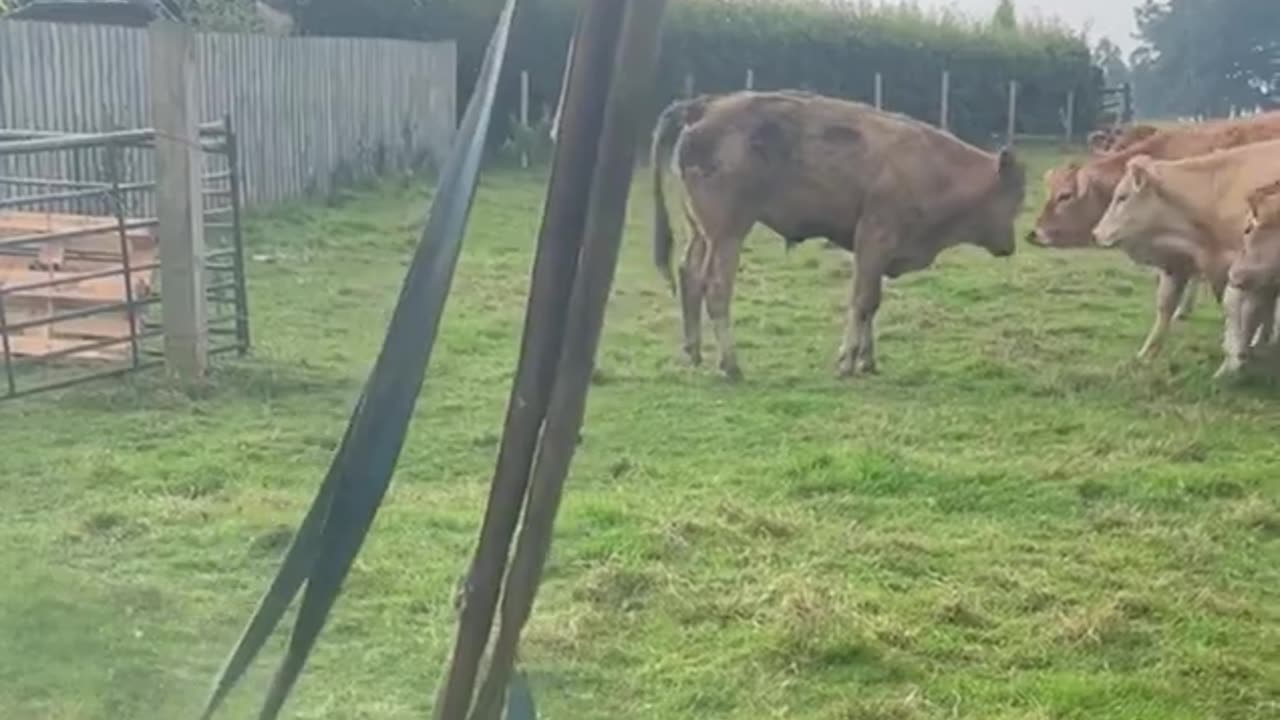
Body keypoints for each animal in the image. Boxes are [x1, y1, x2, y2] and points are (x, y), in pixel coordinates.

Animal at [650, 89, 1029, 379]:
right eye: (1014, 197)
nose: (1010, 245)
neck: (935, 167)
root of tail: (703, 107)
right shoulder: (874, 239)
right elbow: (862, 301)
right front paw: (847, 361)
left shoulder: (875, 253)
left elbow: (872, 302)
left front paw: (867, 361)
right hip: (728, 233)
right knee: (715, 287)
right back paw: (730, 365)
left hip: (701, 232)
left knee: (689, 274)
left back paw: (693, 352)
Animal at [1090, 137, 1280, 366]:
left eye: (1122, 197)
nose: (1096, 233)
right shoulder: (1181, 263)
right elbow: (1166, 307)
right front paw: (1145, 356)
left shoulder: (1248, 270)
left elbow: (1245, 312)